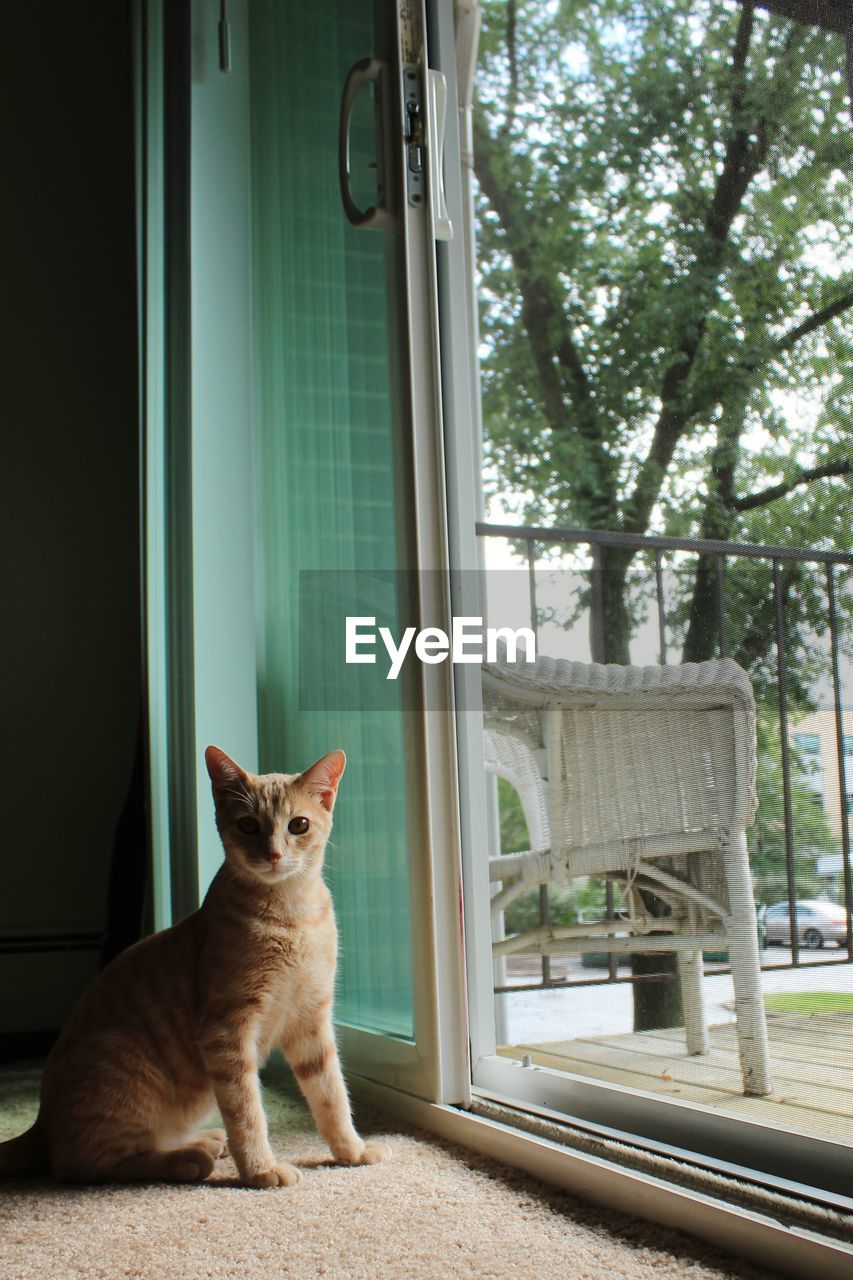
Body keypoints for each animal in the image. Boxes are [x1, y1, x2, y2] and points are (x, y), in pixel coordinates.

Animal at [0, 747, 384, 1182]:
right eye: (248, 825)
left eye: (298, 825)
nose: (273, 854)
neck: (292, 915)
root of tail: (41, 1124)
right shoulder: (226, 1032)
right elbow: (246, 1110)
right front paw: (260, 1170)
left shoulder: (311, 1021)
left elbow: (331, 1094)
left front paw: (351, 1150)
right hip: (125, 1067)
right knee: (83, 1163)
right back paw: (186, 1159)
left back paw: (204, 1141)